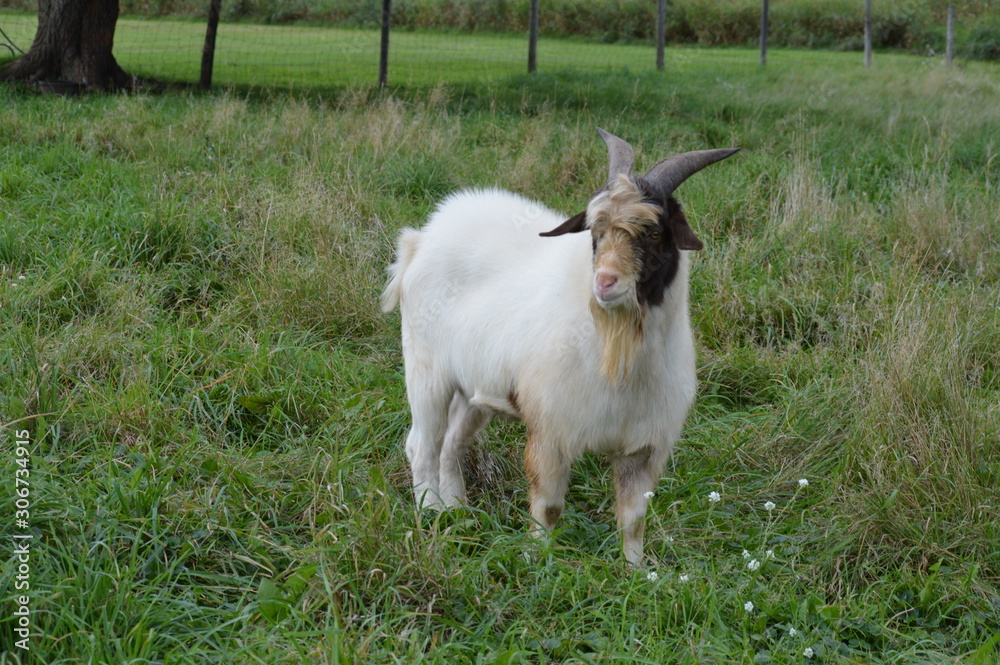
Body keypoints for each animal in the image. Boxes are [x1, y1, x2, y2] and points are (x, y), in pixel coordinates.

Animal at [378, 128, 740, 560]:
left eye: (655, 231)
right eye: (595, 232)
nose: (605, 283)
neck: (617, 353)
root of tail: (423, 237)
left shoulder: (644, 448)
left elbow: (633, 519)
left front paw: (636, 570)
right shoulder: (551, 432)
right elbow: (549, 507)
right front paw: (537, 561)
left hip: (475, 389)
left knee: (452, 445)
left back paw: (458, 512)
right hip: (426, 371)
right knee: (421, 446)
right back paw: (431, 514)